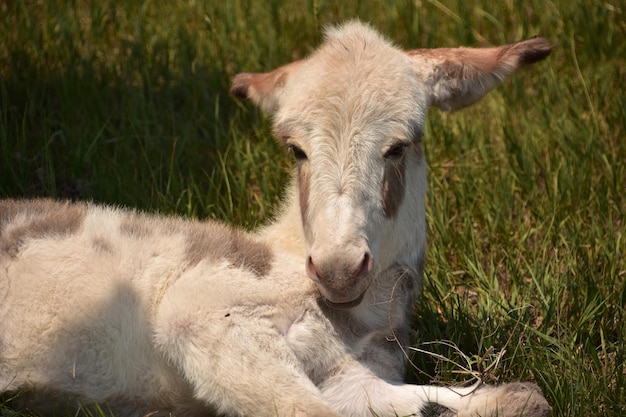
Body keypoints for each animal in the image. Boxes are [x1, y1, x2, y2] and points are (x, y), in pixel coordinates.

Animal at [3, 22, 552, 416]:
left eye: (398, 147)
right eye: (296, 151)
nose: (337, 269)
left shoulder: (350, 375)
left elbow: (511, 400)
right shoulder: (201, 313)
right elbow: (306, 411)